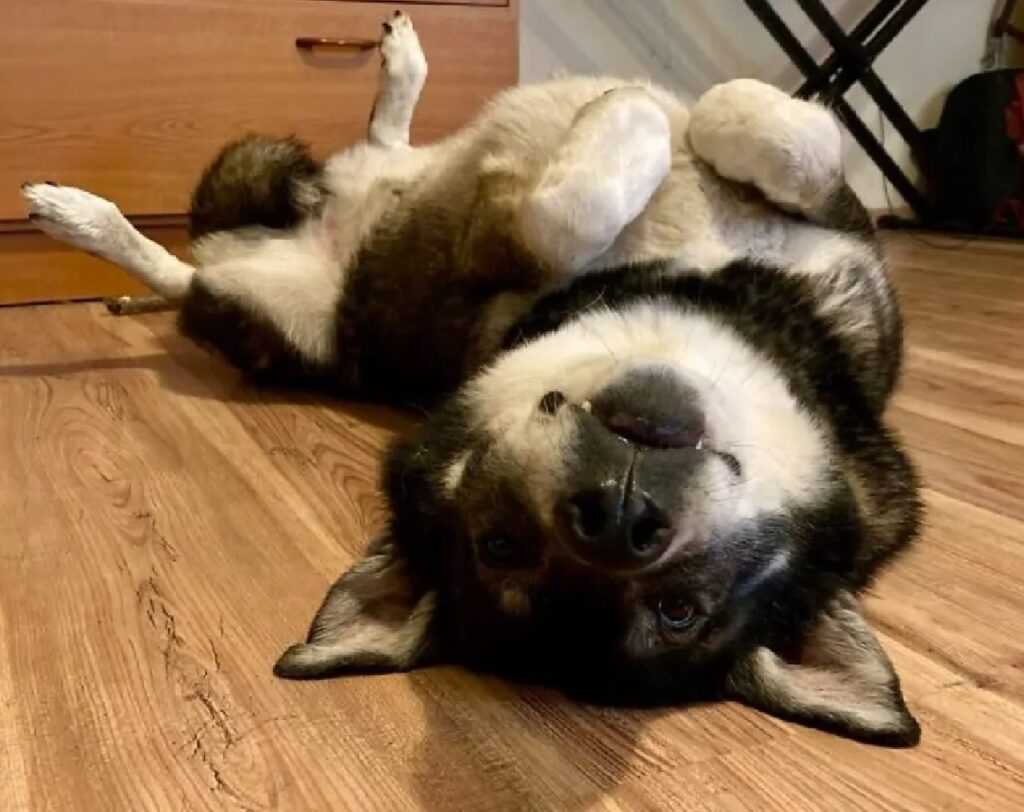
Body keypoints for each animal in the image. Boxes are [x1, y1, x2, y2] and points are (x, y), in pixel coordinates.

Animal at [22, 12, 921, 749]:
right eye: (499, 544)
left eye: (678, 610)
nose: (619, 516)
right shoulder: (827, 219)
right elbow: (778, 131)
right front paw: (660, 113)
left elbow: (614, 192)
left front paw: (638, 115)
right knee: (350, 171)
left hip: (276, 315)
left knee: (186, 279)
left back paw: (88, 221)